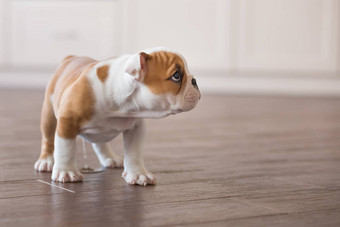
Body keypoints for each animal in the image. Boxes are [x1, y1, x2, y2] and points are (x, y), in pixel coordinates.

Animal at [33, 47, 201, 185]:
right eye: (176, 76)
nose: (194, 81)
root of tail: (70, 58)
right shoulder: (67, 121)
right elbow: (65, 149)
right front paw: (66, 171)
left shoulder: (136, 128)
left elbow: (134, 152)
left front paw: (138, 174)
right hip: (48, 114)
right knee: (48, 138)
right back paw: (46, 161)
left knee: (99, 142)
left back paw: (110, 158)